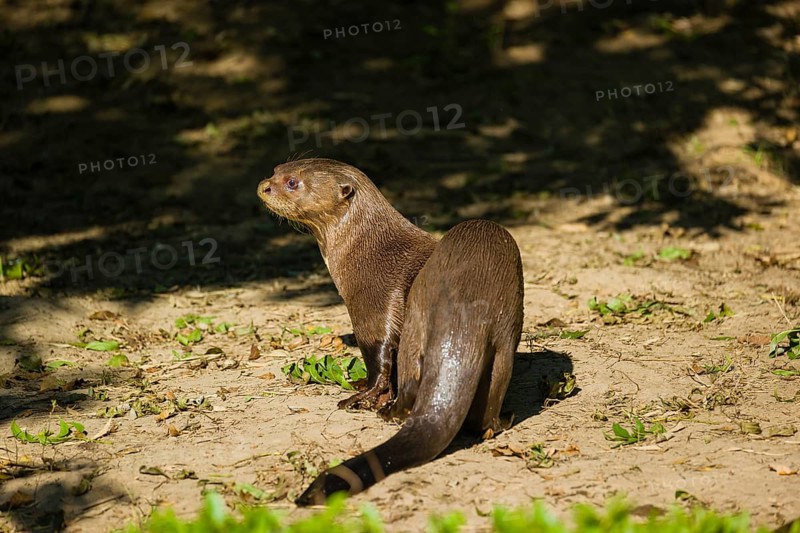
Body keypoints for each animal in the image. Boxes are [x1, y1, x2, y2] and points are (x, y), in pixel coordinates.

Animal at [257, 158, 437, 409]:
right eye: (276, 170)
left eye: (292, 182)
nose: (264, 186)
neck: (368, 252)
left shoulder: (374, 302)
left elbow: (380, 353)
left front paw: (364, 395)